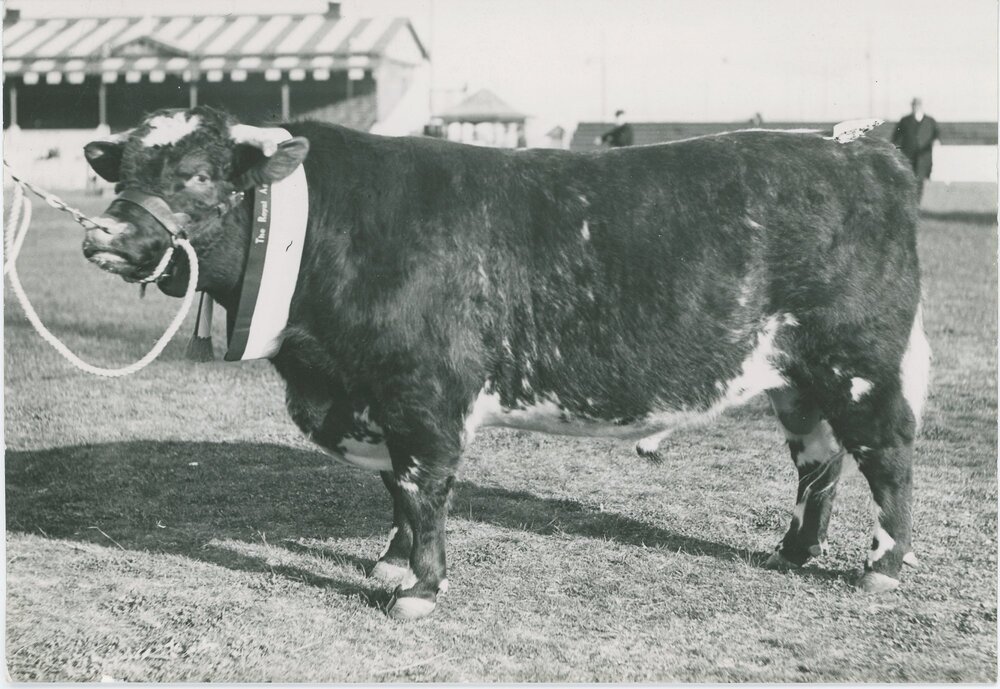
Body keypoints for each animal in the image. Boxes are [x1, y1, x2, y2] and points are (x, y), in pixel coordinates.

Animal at [81, 106, 930, 620]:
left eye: (196, 173)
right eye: (117, 172)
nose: (101, 234)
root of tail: (859, 148)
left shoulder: (423, 394)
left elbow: (423, 486)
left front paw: (420, 587)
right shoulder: (378, 397)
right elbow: (396, 489)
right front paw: (390, 564)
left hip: (859, 363)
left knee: (886, 457)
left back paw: (881, 567)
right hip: (797, 378)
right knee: (819, 462)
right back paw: (792, 551)